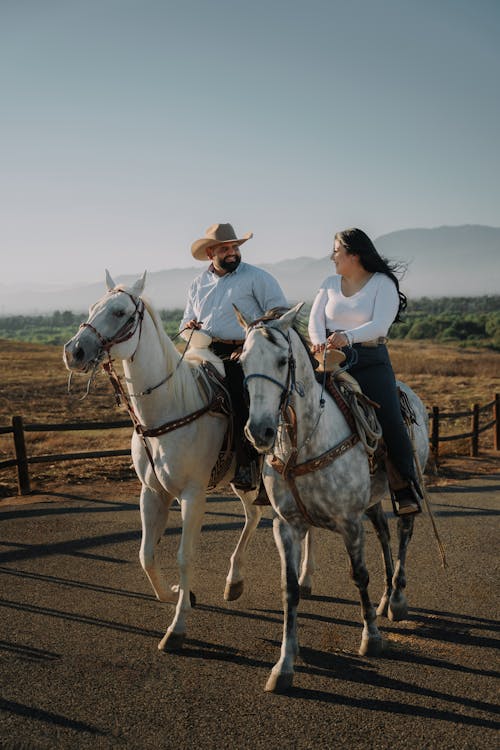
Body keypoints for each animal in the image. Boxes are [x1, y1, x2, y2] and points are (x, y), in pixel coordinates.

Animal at [63, 274, 308, 652]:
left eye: (119, 312)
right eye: (92, 307)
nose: (74, 351)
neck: (170, 409)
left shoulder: (193, 496)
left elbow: (184, 555)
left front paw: (176, 627)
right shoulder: (152, 493)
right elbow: (145, 554)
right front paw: (177, 594)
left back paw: (304, 579)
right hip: (241, 481)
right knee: (253, 516)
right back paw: (233, 581)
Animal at [236, 304, 428, 692]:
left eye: (282, 360)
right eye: (243, 361)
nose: (260, 431)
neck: (307, 440)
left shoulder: (349, 522)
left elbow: (359, 575)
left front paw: (371, 638)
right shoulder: (287, 525)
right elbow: (289, 589)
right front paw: (284, 664)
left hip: (407, 484)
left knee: (404, 532)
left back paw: (397, 600)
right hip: (372, 501)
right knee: (384, 534)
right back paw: (385, 599)